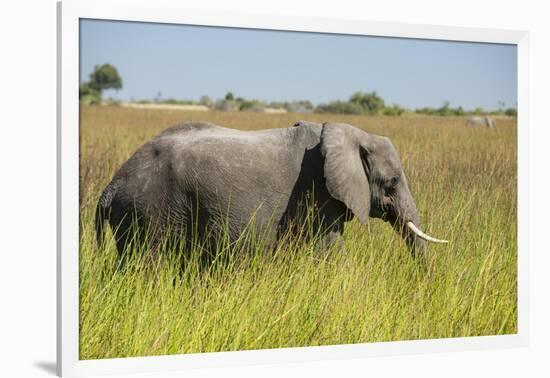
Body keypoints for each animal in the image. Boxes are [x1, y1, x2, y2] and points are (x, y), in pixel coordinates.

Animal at [96, 121, 448, 262]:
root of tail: (111, 186)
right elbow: (331, 253)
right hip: (149, 211)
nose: (426, 280)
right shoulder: (317, 197)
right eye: (392, 182)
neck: (351, 132)